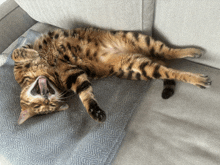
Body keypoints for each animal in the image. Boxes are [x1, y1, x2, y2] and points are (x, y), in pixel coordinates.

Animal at [12, 27, 211, 124]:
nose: (47, 98)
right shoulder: (72, 73)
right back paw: (197, 77)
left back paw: (194, 53)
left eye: (40, 106)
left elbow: (17, 52)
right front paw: (95, 112)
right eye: (46, 108)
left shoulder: (29, 51)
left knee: (169, 52)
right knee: (168, 68)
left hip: (141, 39)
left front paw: (31, 55)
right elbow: (86, 94)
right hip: (140, 65)